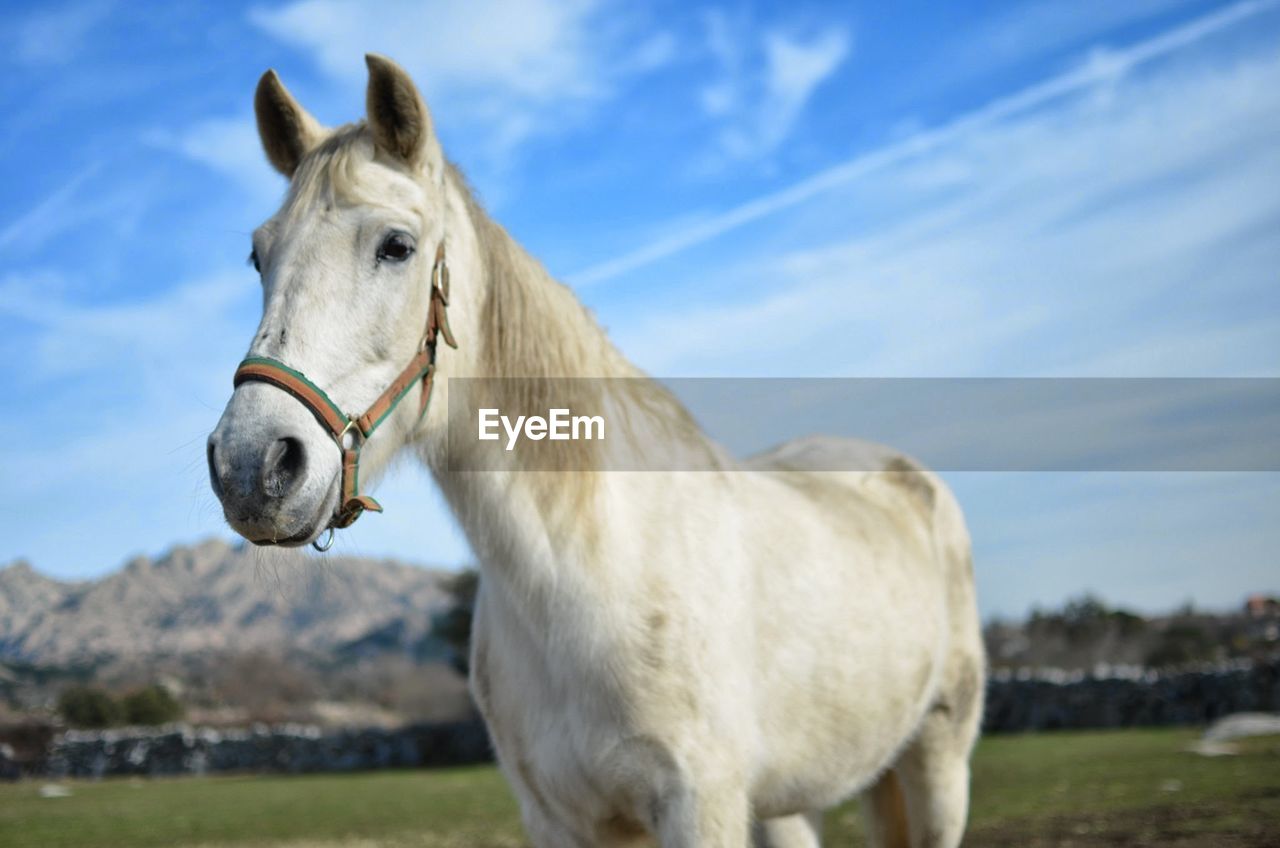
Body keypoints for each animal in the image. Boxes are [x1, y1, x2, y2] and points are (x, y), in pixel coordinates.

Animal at [209, 54, 983, 848]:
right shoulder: (560, 819)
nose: (251, 467)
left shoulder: (701, 807)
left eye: (396, 245)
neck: (584, 577)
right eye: (259, 256)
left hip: (937, 765)